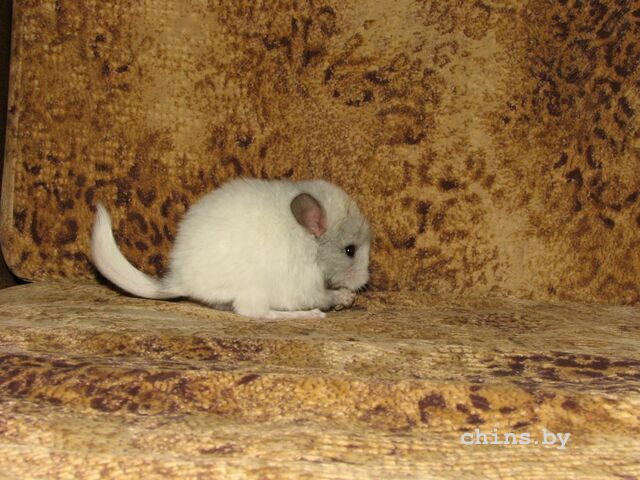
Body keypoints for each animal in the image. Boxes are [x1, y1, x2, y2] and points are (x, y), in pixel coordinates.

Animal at [91, 178, 371, 319]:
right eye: (350, 250)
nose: (364, 282)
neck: (309, 242)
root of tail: (181, 280)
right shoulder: (305, 284)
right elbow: (323, 295)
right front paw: (345, 297)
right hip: (255, 289)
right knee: (257, 313)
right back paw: (310, 315)